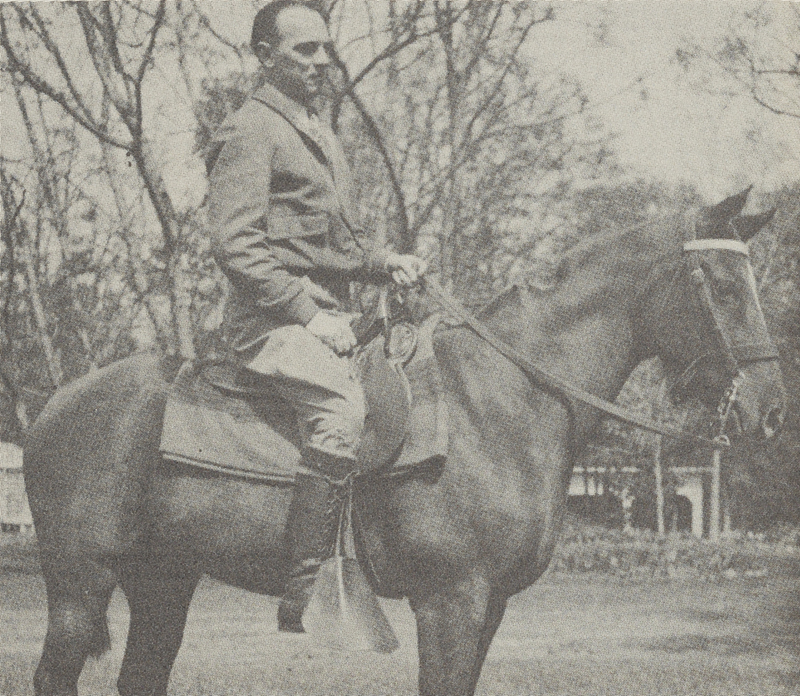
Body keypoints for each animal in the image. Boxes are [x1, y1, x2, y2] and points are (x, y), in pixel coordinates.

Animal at [23, 189, 780, 696]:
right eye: (720, 284)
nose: (769, 411)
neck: (497, 403)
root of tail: (53, 405)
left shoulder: (488, 607)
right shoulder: (450, 603)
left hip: (162, 582)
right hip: (80, 587)